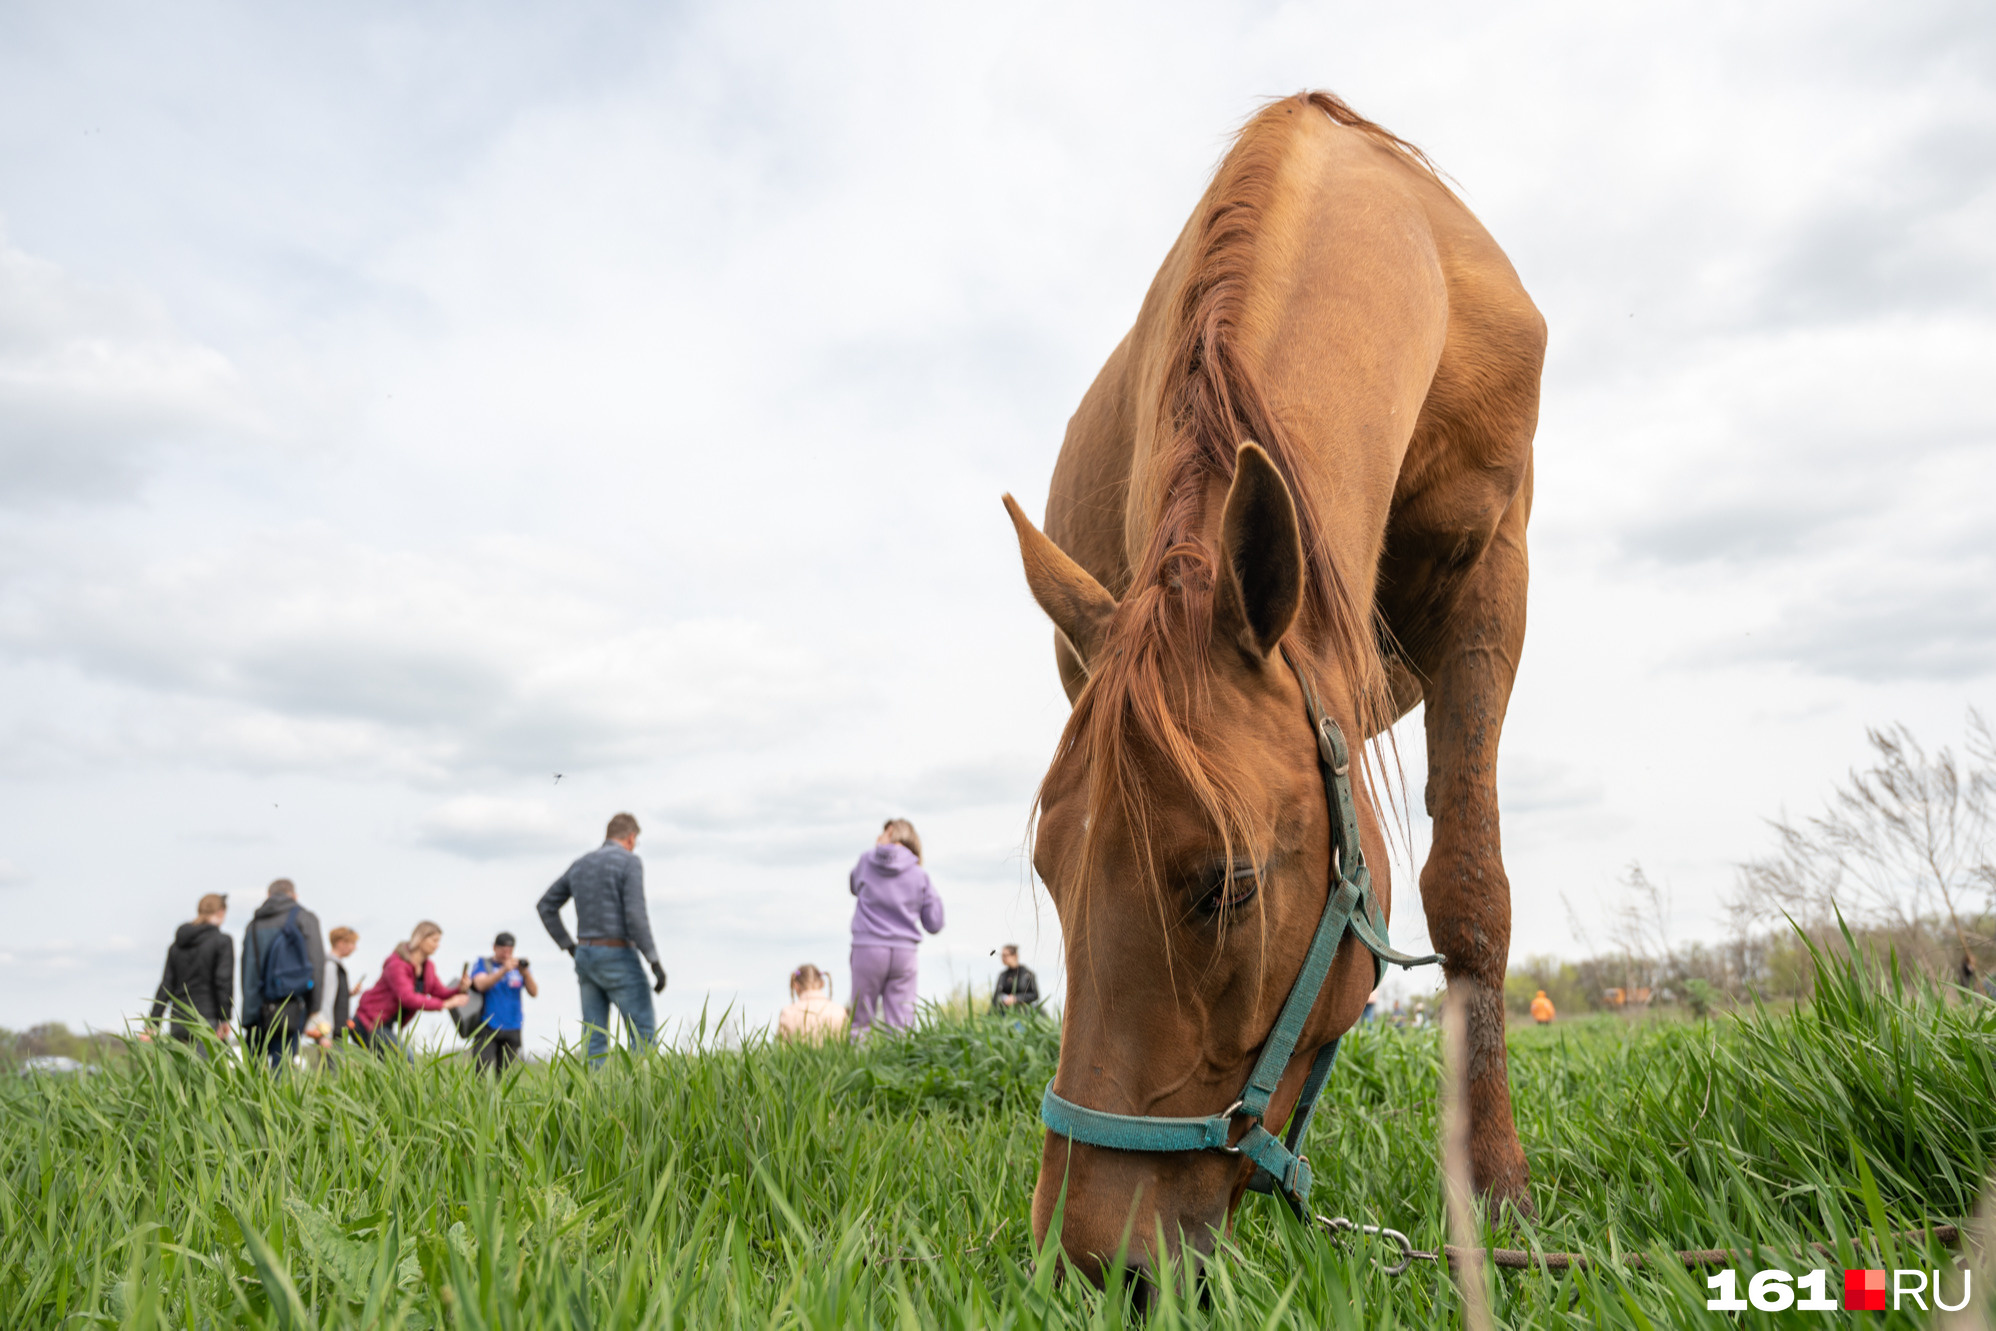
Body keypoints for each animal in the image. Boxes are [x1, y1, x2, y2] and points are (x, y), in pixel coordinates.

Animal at [998, 88, 1540, 1285]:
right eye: (1049, 874)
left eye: (1228, 884)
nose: (1088, 1262)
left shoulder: (1494, 573)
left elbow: (1470, 889)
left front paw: (1495, 1194)